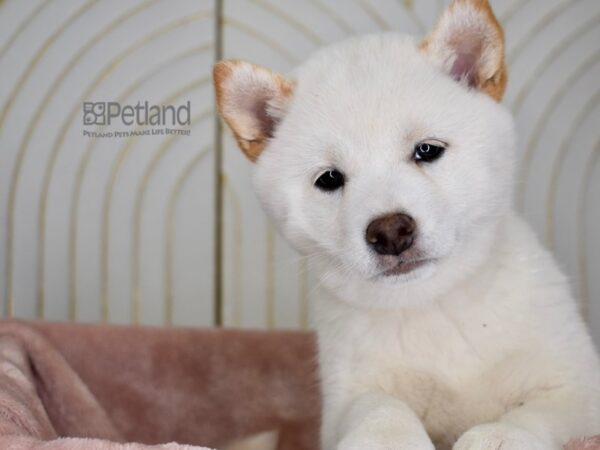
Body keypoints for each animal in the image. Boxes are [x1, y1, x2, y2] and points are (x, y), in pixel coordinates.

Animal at [213, 0, 600, 446]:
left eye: (427, 150)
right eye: (329, 179)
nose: (390, 233)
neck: (432, 303)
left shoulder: (577, 385)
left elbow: (536, 413)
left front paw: (499, 437)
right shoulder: (347, 397)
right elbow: (380, 407)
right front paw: (388, 437)